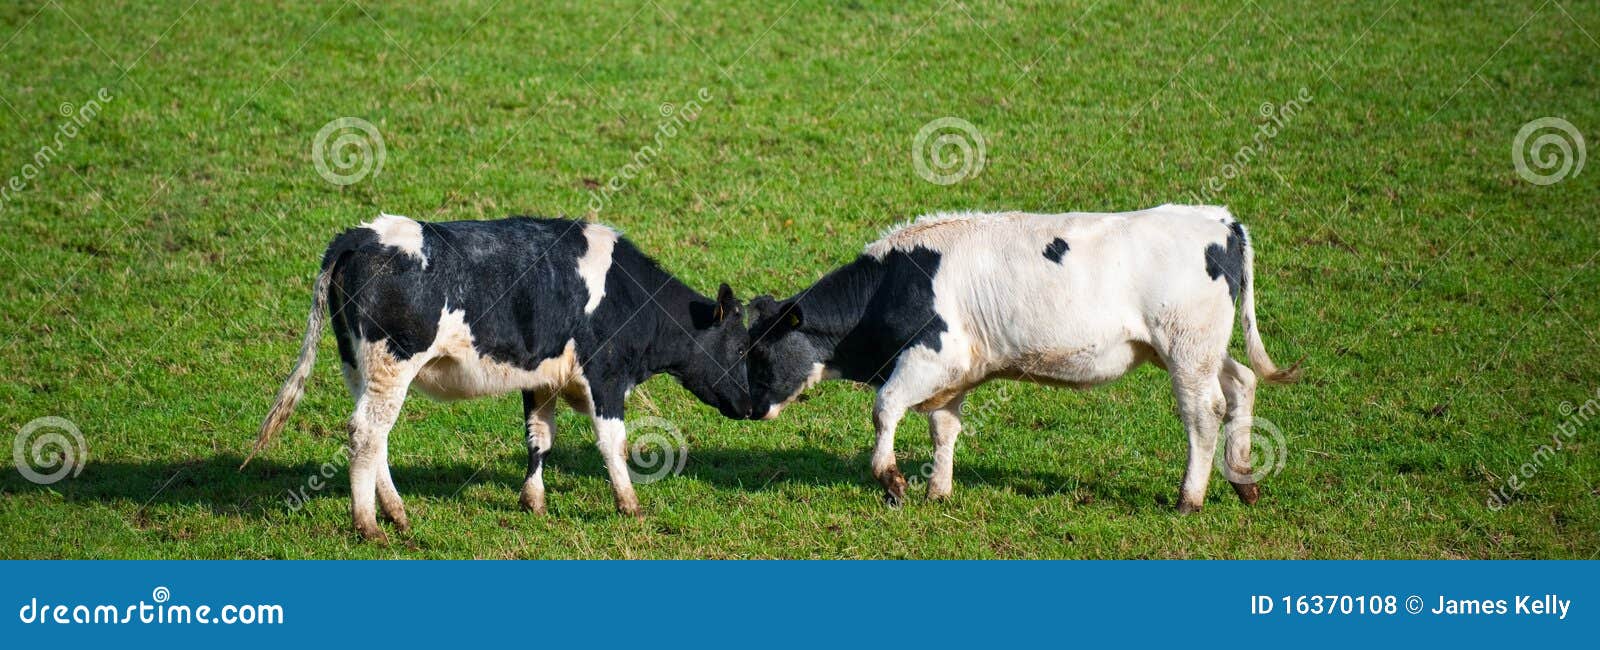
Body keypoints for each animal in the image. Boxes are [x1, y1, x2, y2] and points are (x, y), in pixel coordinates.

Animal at [244, 214, 751, 540]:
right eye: (741, 345)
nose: (751, 404)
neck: (625, 294)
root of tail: (362, 234)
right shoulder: (605, 375)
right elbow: (612, 443)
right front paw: (629, 505)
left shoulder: (542, 377)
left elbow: (539, 437)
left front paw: (533, 501)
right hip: (392, 363)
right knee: (367, 432)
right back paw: (369, 526)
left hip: (358, 366)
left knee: (373, 436)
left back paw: (397, 514)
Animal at [745, 205, 1300, 513]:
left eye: (762, 353)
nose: (745, 408)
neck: (895, 281)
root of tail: (1217, 218)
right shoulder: (957, 374)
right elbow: (943, 428)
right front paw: (938, 492)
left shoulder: (935, 358)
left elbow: (884, 408)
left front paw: (892, 480)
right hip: (1199, 349)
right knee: (1242, 382)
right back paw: (1244, 481)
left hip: (1186, 348)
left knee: (1203, 413)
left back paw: (1189, 500)